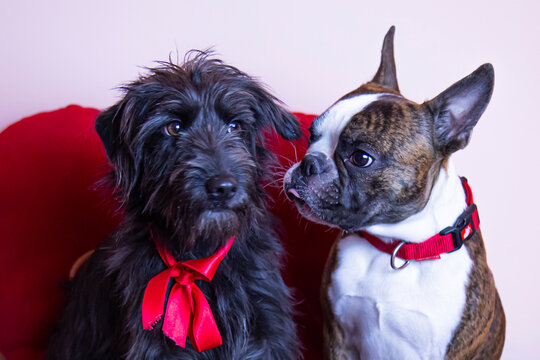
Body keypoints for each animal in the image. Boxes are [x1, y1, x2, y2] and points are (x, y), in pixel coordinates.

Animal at [45, 52, 304, 358]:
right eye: (174, 128)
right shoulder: (156, 344)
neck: (197, 258)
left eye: (235, 126)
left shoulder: (267, 330)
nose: (223, 187)